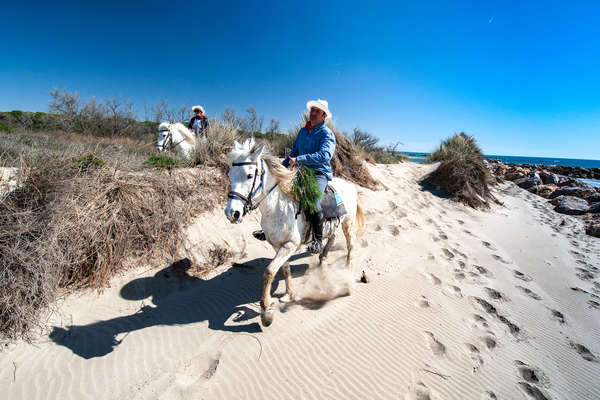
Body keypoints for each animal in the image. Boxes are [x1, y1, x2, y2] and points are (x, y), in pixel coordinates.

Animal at [226, 139, 364, 326]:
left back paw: (346, 270)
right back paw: (322, 260)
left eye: (249, 175)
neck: (279, 206)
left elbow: (269, 272)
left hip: (347, 223)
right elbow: (285, 270)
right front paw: (288, 295)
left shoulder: (289, 245)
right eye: (230, 175)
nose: (232, 213)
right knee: (332, 238)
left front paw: (266, 310)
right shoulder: (278, 246)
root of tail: (349, 185)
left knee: (351, 246)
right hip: (333, 225)